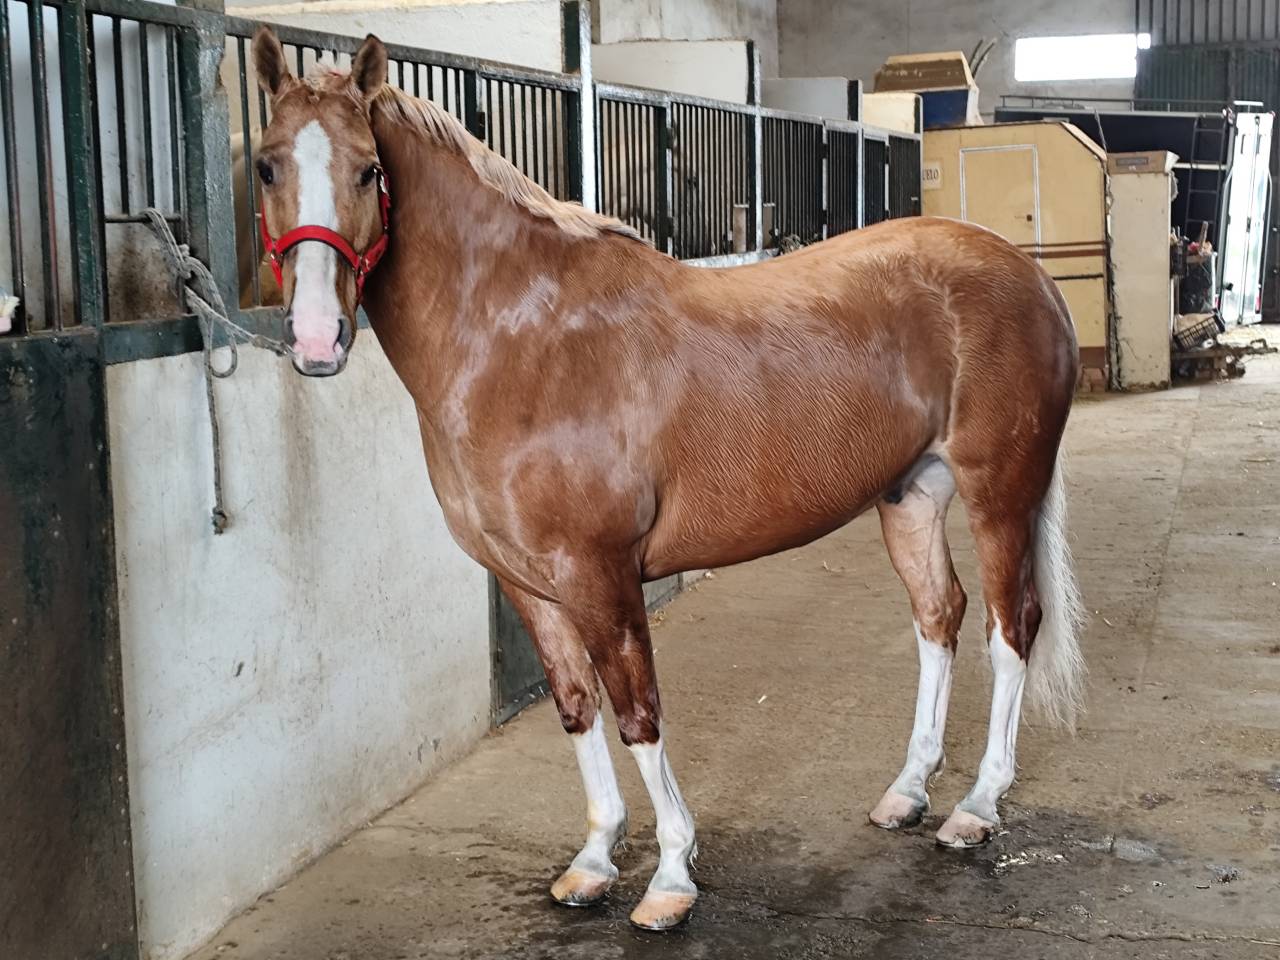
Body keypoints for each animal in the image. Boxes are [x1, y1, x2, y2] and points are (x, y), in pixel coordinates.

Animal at [248, 27, 1085, 931]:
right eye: (265, 165)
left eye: (369, 169)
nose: (317, 338)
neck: (522, 340)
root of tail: (1030, 275)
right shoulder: (527, 584)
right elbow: (577, 708)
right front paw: (592, 861)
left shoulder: (601, 574)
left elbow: (638, 715)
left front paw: (671, 879)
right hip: (912, 495)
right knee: (940, 618)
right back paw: (906, 793)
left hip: (1000, 493)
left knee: (1011, 627)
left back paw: (976, 807)